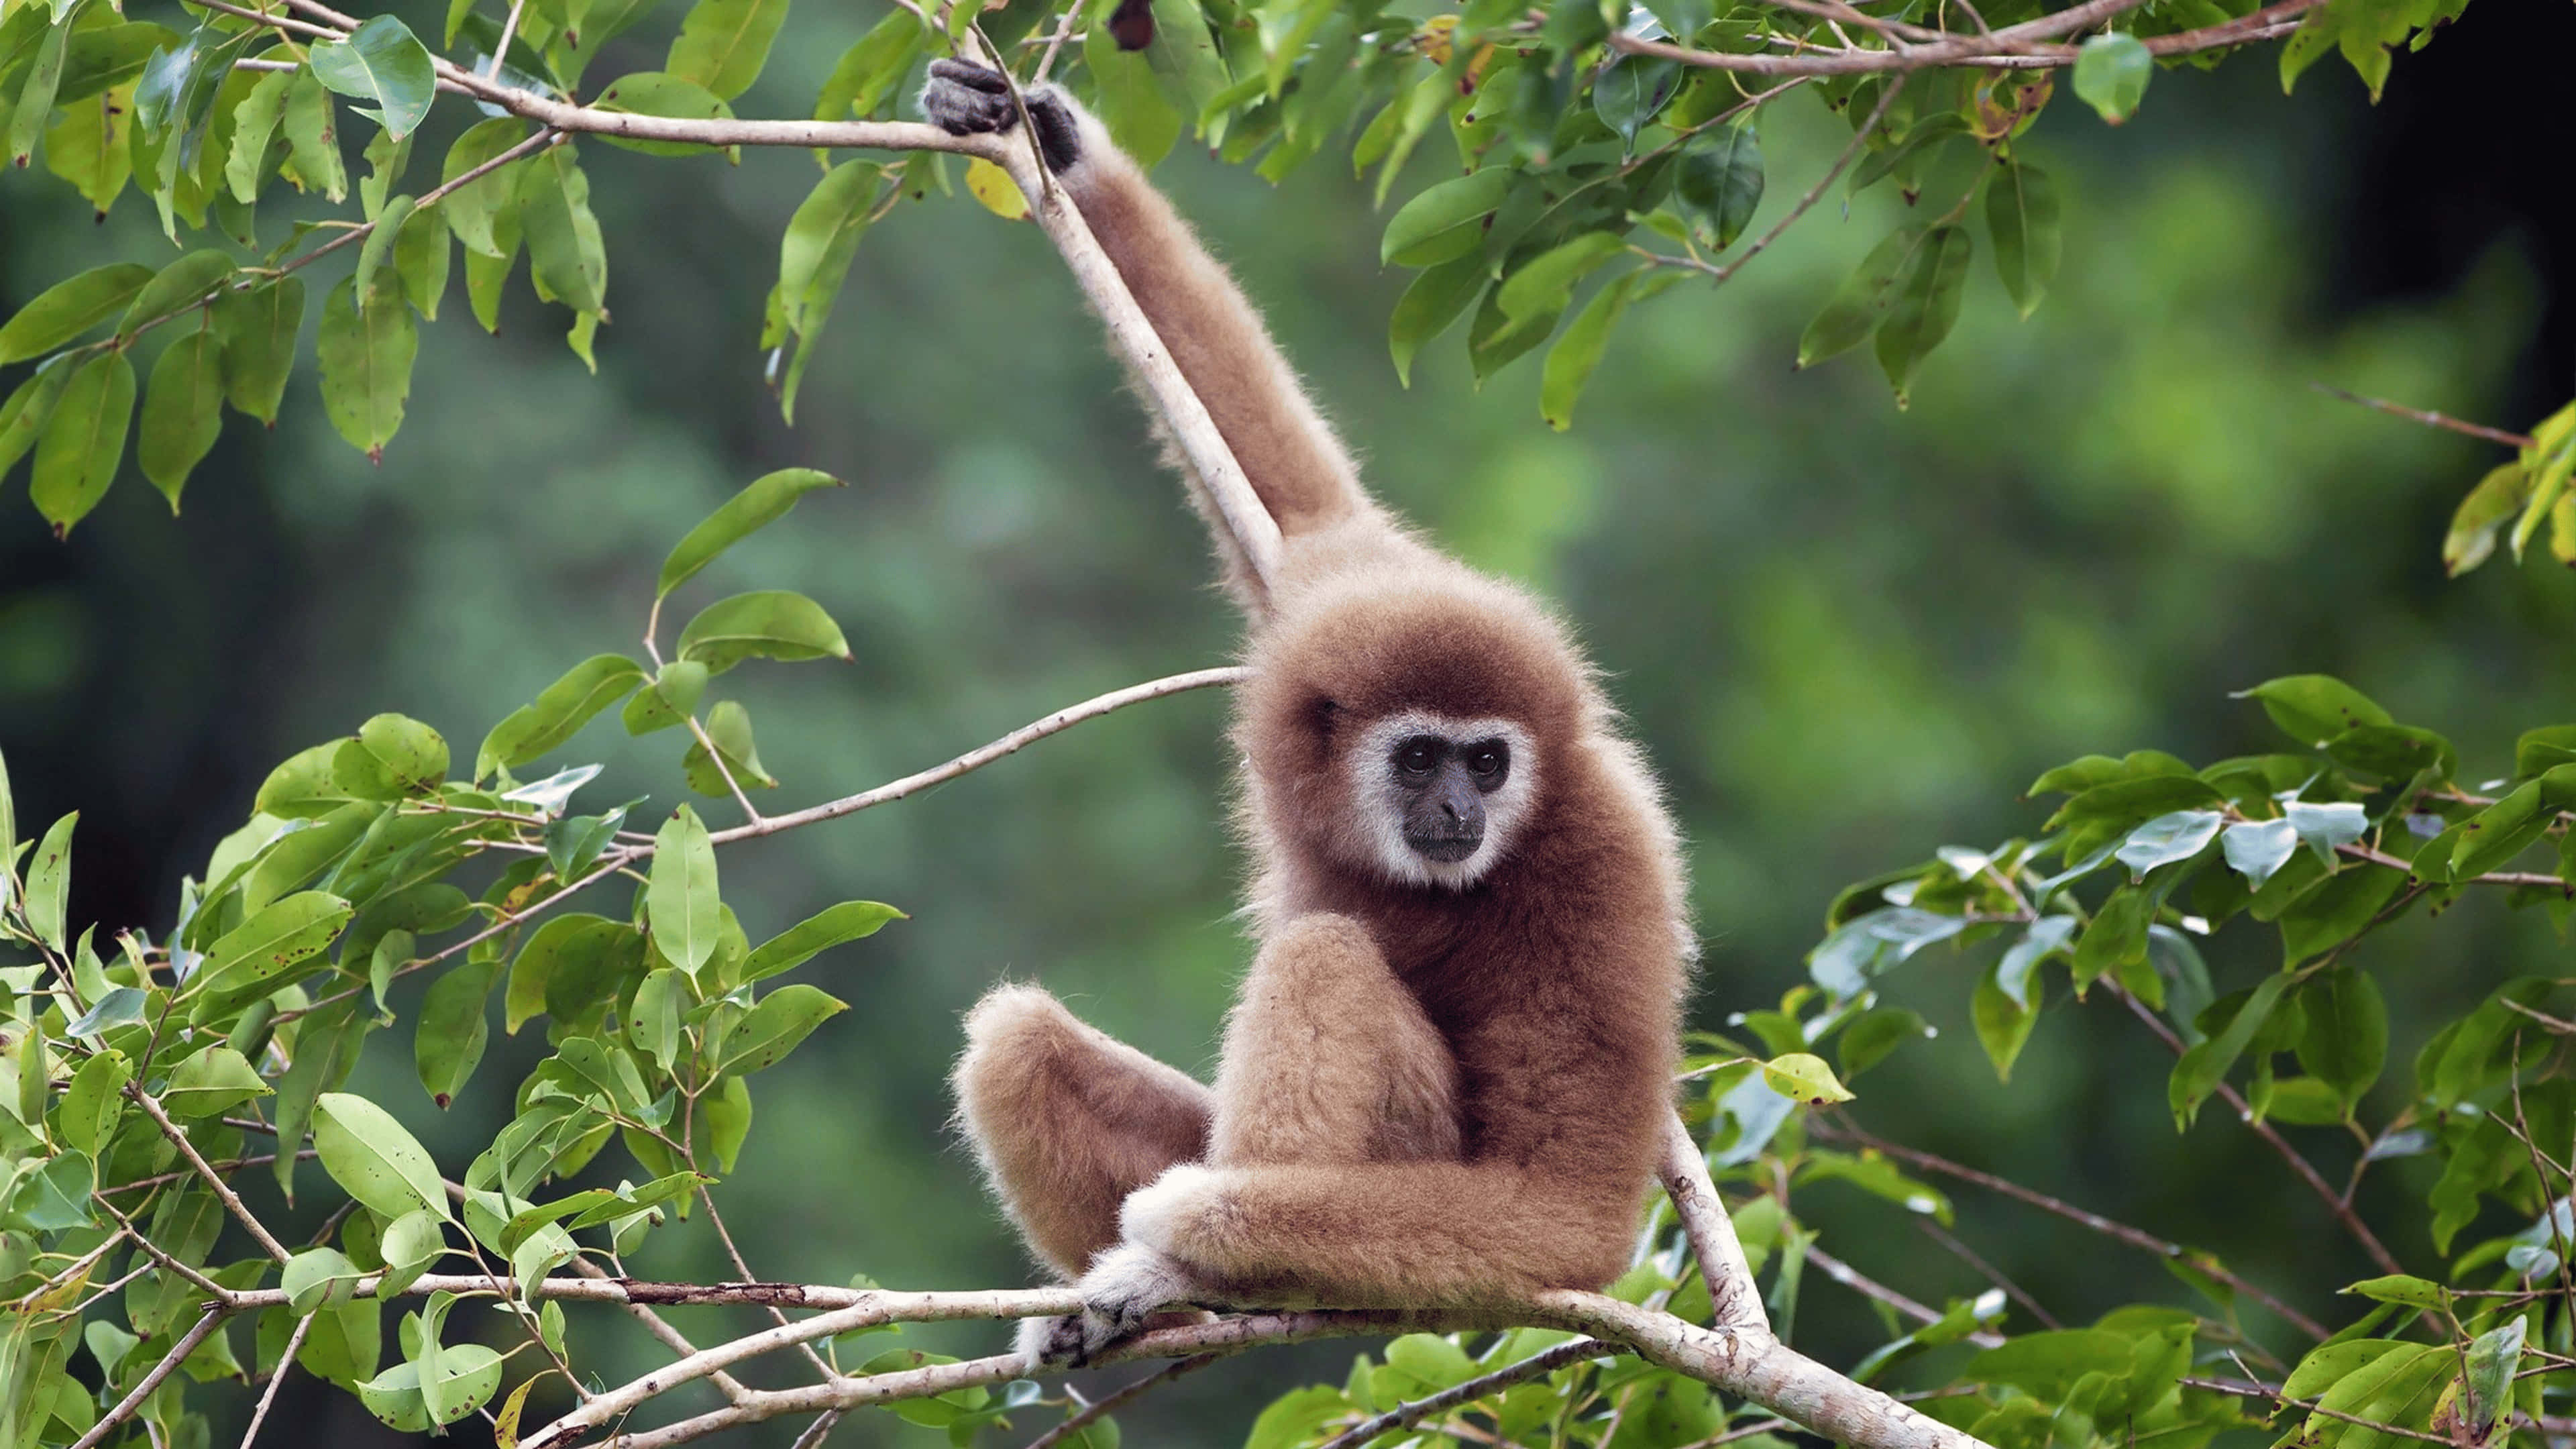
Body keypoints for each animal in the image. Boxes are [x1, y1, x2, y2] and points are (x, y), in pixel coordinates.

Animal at [922, 57, 1695, 1371]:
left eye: (1492, 764)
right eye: (1424, 756)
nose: (1457, 807)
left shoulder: (1604, 863)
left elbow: (1566, 1212)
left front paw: (1190, 1230)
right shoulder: (1335, 583)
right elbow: (1294, 494)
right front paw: (1059, 142)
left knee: (1323, 958)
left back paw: (1181, 1272)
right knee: (1016, 1037)